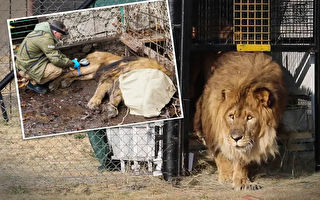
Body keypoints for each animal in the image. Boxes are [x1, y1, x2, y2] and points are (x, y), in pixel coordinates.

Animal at [194, 51, 286, 191]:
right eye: (231, 116)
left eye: (249, 117)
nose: (235, 138)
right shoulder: (214, 130)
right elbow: (221, 154)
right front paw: (226, 176)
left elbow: (242, 159)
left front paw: (242, 181)